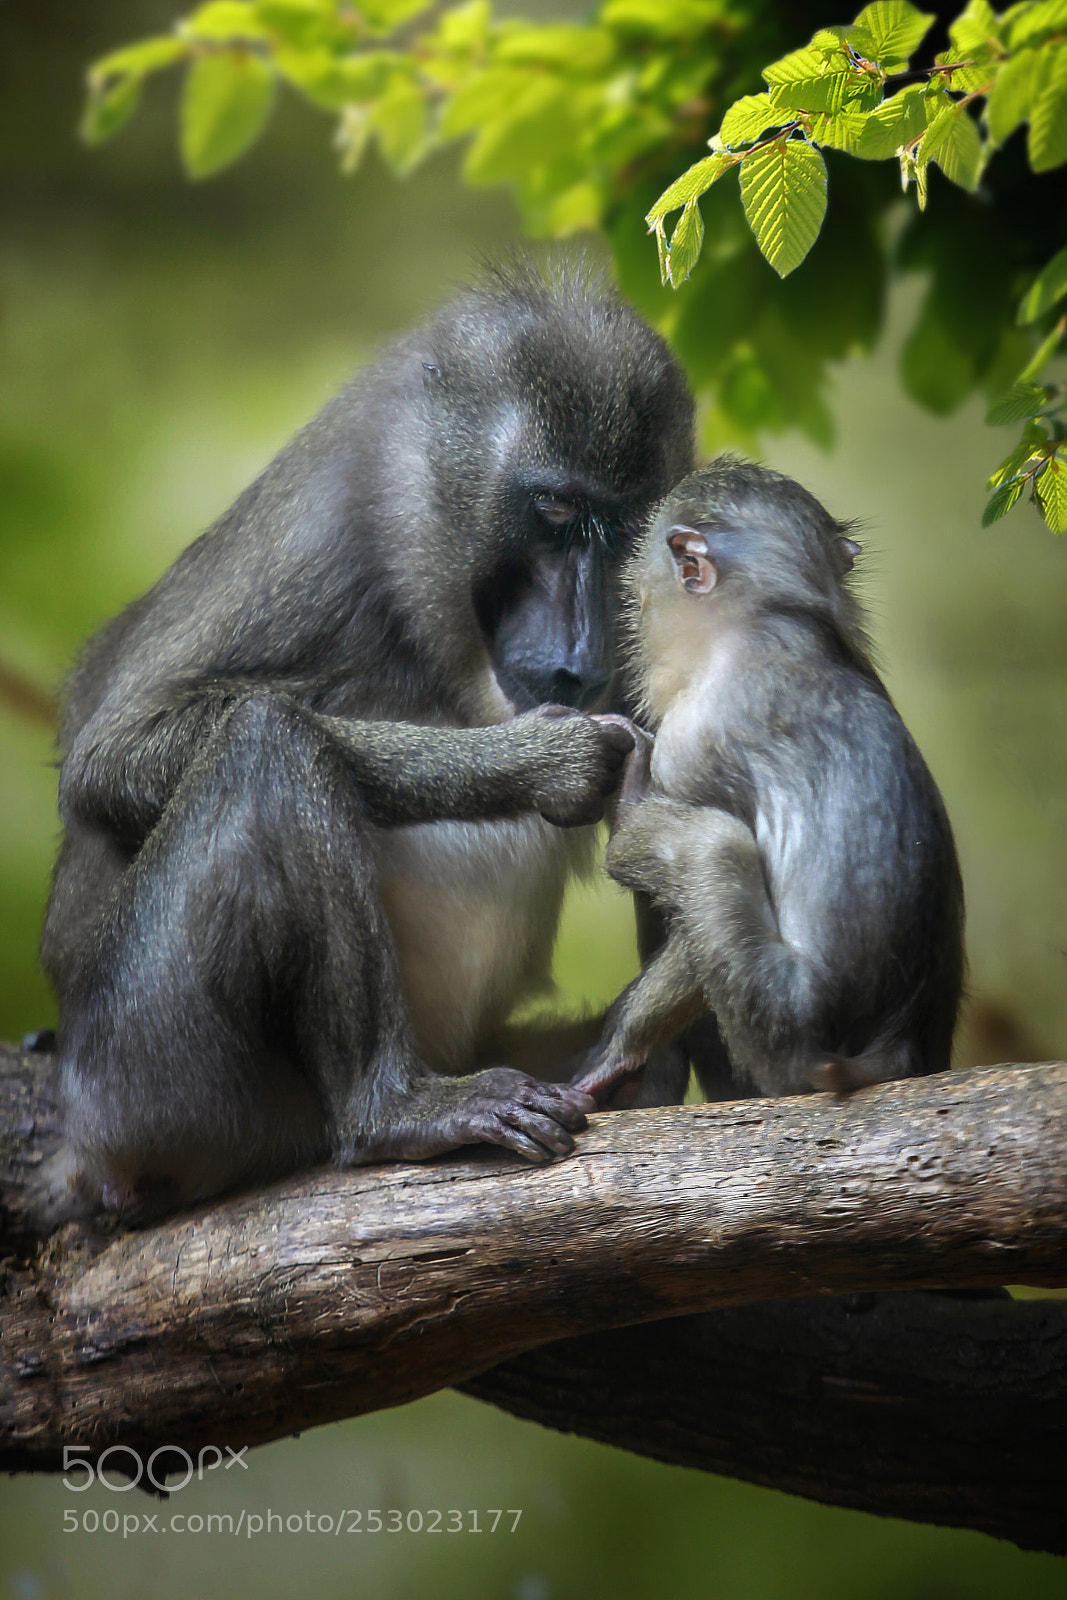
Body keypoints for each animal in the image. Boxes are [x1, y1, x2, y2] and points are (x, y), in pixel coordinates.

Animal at [33, 263, 695, 1223]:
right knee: (266, 745)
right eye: (553, 511)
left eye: (625, 531)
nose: (578, 661)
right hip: (153, 1088)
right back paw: (389, 1112)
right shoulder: (318, 534)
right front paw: (540, 765)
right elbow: (113, 755)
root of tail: (86, 1152)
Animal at [574, 457, 964, 1108]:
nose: (638, 614)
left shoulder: (690, 739)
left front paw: (622, 1050)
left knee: (713, 844)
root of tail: (900, 1045)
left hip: (781, 1020)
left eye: (644, 592)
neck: (775, 620)